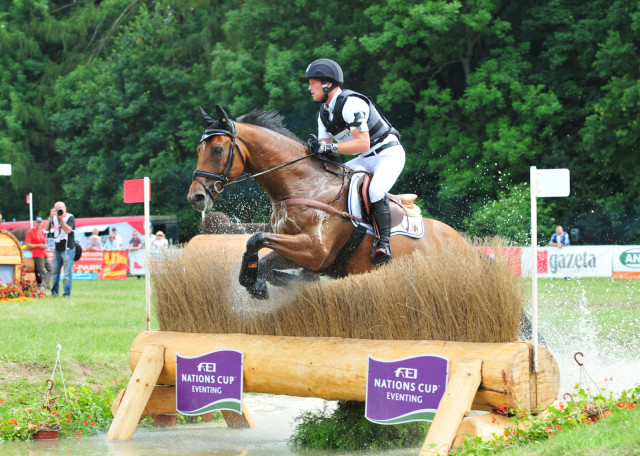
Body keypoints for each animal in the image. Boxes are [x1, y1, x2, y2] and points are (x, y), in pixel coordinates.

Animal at [188, 105, 468, 302]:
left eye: (217, 150)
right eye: (199, 149)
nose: (195, 197)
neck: (303, 185)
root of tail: (462, 242)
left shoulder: (314, 250)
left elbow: (255, 238)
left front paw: (259, 282)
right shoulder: (298, 250)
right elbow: (263, 259)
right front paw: (262, 282)